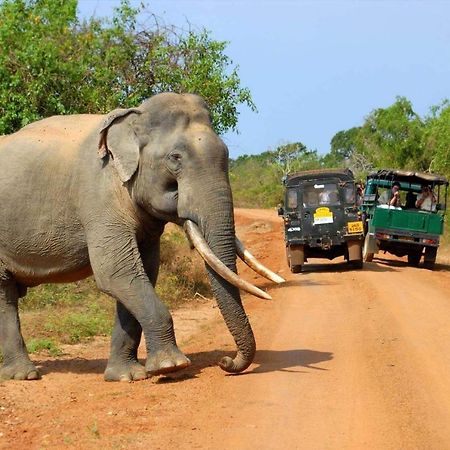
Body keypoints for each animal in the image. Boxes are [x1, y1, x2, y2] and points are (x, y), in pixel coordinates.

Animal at [0, 93, 284, 382]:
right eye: (175, 157)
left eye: (226, 154)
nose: (225, 361)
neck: (133, 118)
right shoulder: (99, 198)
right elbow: (116, 273)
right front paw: (171, 366)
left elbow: (143, 272)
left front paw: (128, 376)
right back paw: (24, 375)